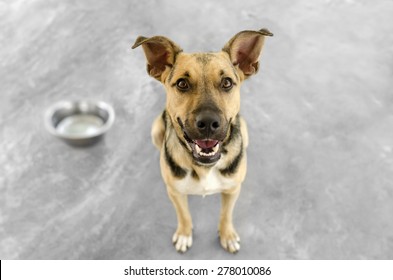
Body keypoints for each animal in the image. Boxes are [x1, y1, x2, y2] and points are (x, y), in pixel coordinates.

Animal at [133, 29, 272, 254]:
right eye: (182, 83)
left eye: (227, 83)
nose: (208, 123)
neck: (204, 166)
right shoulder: (175, 193)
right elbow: (184, 215)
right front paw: (184, 234)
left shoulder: (233, 189)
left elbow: (226, 214)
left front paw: (227, 235)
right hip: (155, 130)